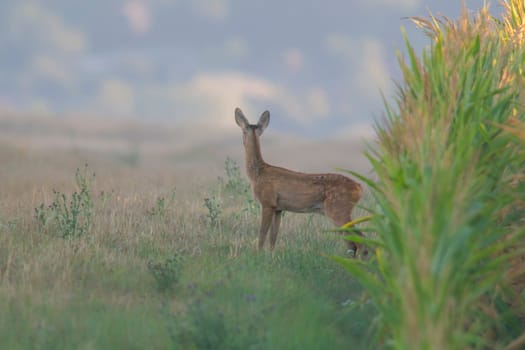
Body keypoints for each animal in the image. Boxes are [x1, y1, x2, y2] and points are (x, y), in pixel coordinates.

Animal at [233, 106, 364, 258]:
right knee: (353, 243)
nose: (241, 141)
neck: (258, 172)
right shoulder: (278, 208)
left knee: (361, 241)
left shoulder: (267, 202)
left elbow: (262, 234)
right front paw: (271, 256)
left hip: (339, 210)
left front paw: (258, 255)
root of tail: (359, 188)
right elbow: (273, 237)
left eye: (243, 131)